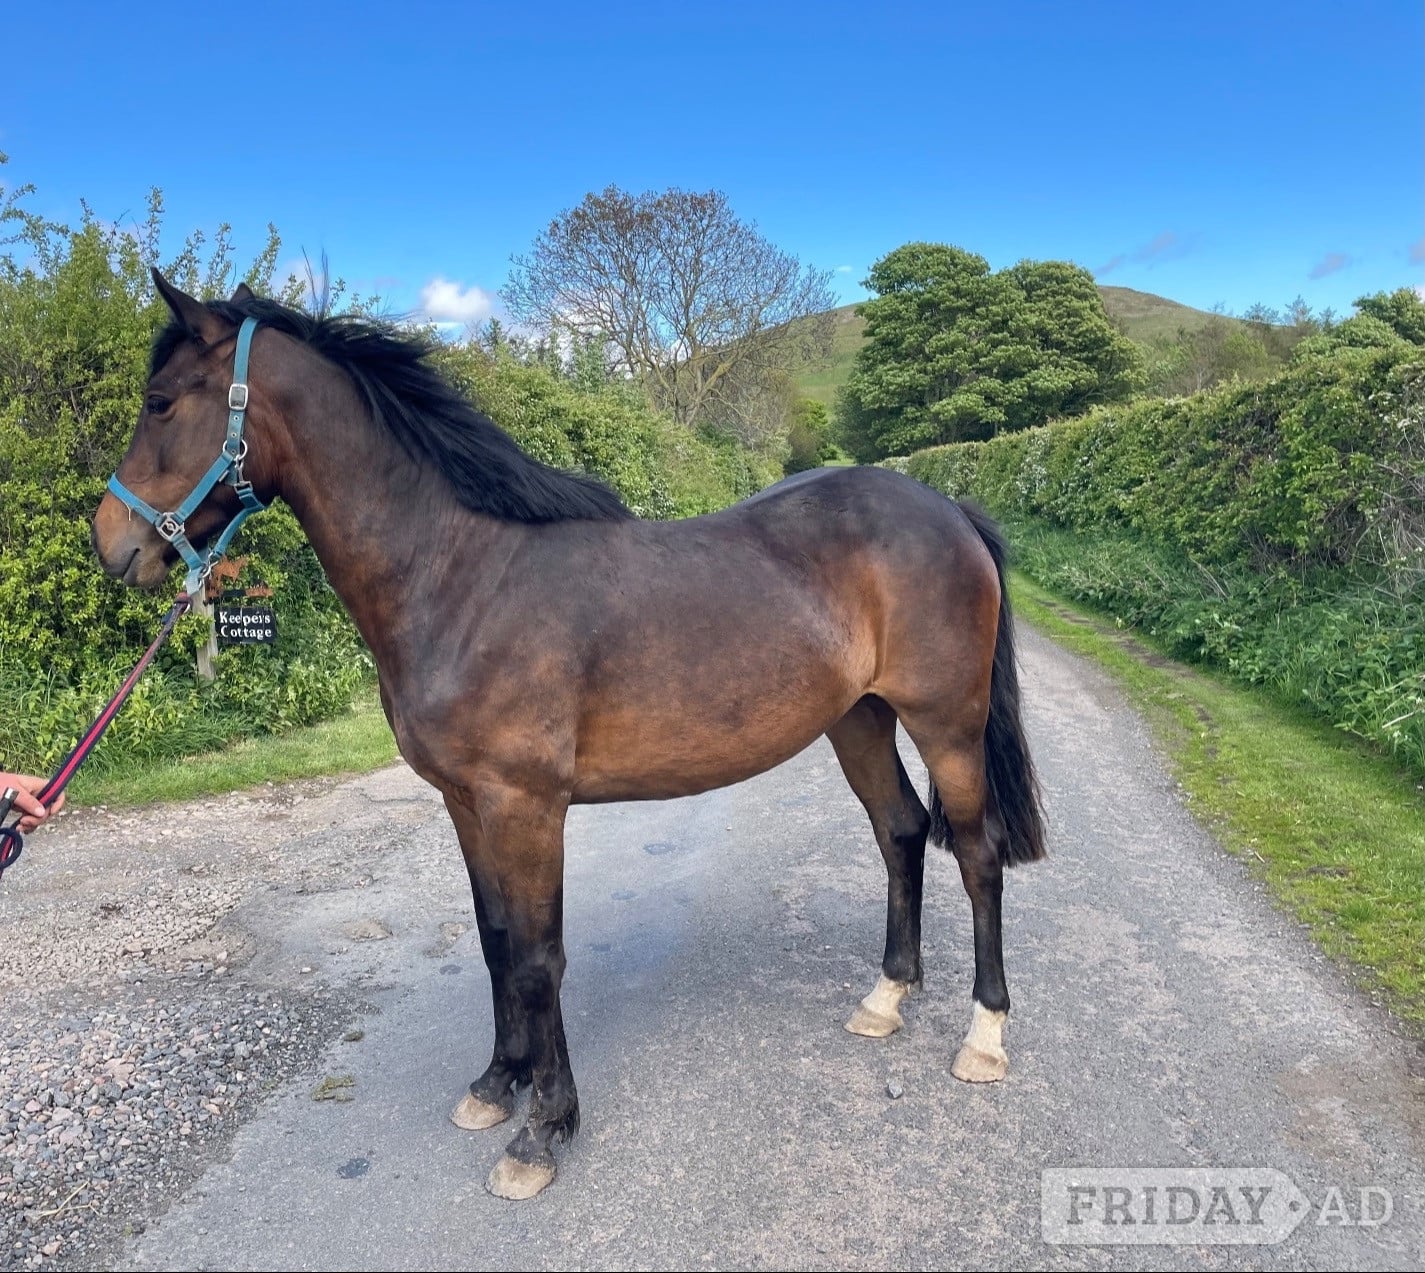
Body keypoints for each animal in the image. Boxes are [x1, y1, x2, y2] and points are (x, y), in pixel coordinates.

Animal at [92, 272, 1046, 1200]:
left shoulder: (527, 805)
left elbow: (539, 956)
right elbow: (495, 941)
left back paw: (983, 1034)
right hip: (859, 719)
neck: (461, 575)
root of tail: (947, 507)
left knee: (976, 852)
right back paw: (886, 997)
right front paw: (496, 1083)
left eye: (161, 401)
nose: (111, 542)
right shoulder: (466, 803)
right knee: (900, 831)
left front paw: (543, 1129)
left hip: (946, 724)